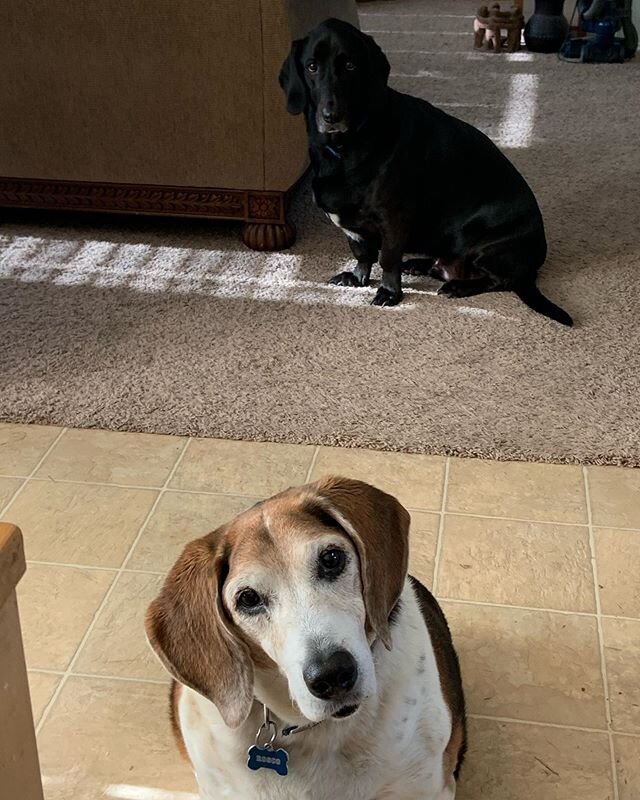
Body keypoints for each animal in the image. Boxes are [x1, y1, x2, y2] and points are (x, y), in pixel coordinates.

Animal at [278, 18, 572, 324]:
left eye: (350, 66)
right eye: (312, 66)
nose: (331, 117)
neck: (344, 146)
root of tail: (532, 269)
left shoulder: (393, 219)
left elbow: (387, 258)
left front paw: (389, 292)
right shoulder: (354, 229)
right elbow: (362, 254)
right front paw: (358, 278)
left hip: (484, 243)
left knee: (499, 280)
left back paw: (457, 286)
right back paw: (419, 264)